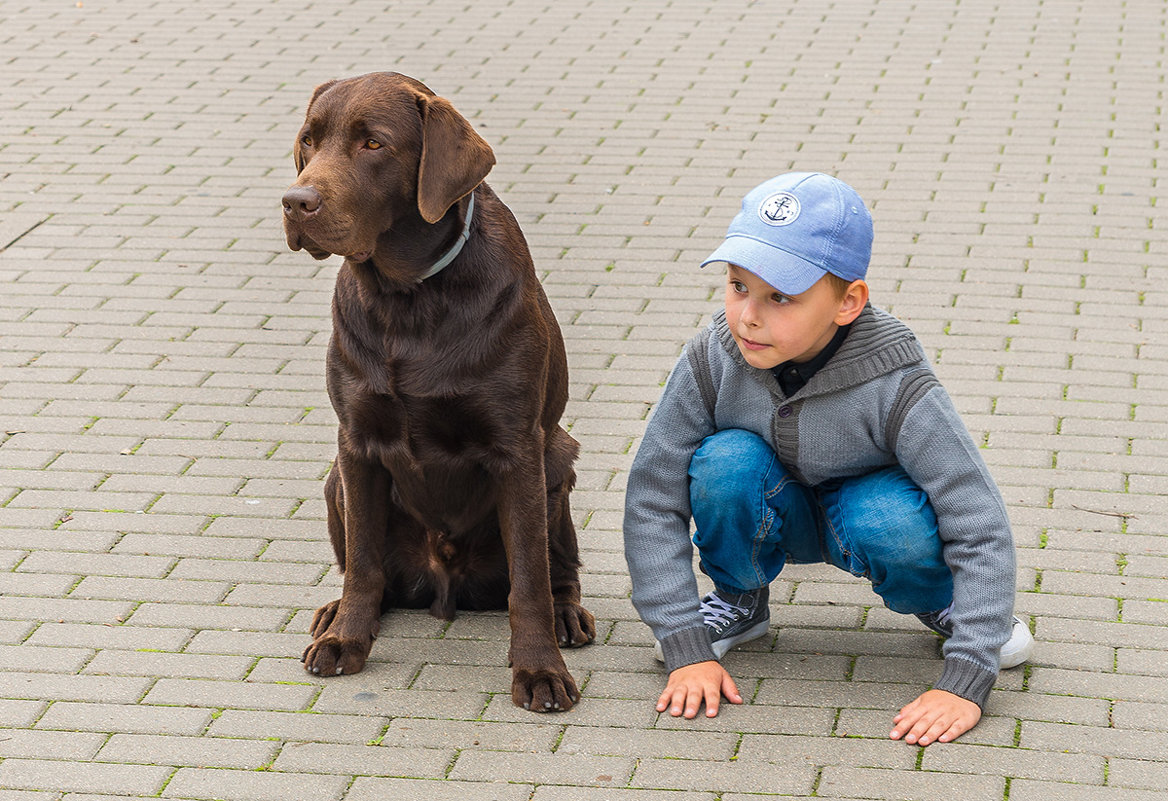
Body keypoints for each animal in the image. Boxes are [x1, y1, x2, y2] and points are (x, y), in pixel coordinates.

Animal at [280, 73, 593, 714]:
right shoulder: (357, 444)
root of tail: (445, 584)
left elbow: (529, 582)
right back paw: (333, 614)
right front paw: (346, 639)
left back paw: (569, 617)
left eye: (373, 143)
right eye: (309, 141)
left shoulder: (516, 449)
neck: (408, 300)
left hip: (557, 463)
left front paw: (540, 671)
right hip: (334, 482)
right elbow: (364, 565)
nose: (296, 202)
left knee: (558, 572)